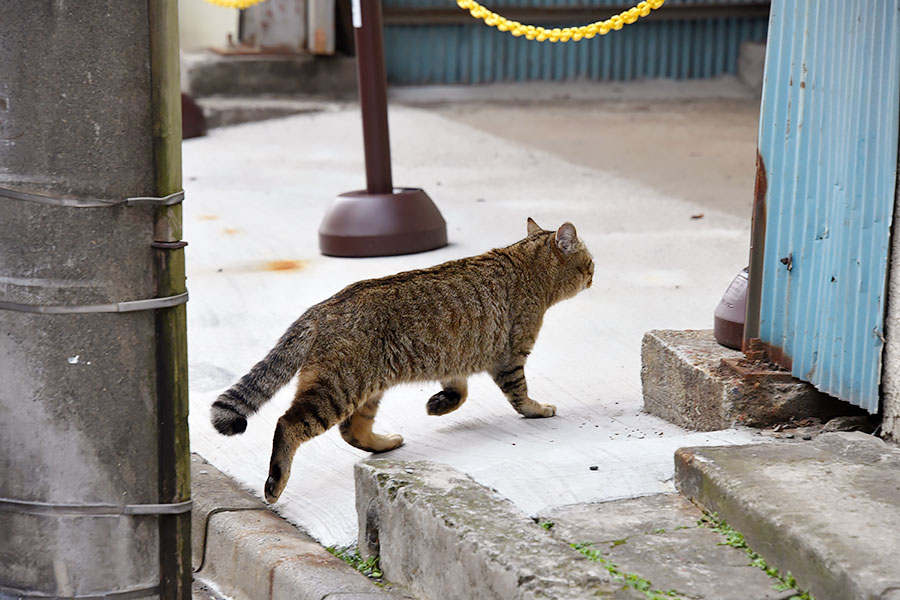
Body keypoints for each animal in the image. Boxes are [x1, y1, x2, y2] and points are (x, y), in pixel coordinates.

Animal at [209, 218, 592, 504]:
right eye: (589, 263)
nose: (593, 275)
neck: (525, 264)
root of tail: (320, 308)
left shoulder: (454, 357)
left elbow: (459, 389)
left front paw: (439, 404)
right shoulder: (511, 356)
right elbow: (520, 395)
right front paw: (538, 409)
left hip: (367, 388)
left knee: (353, 431)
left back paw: (386, 443)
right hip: (335, 390)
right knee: (289, 424)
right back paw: (275, 482)